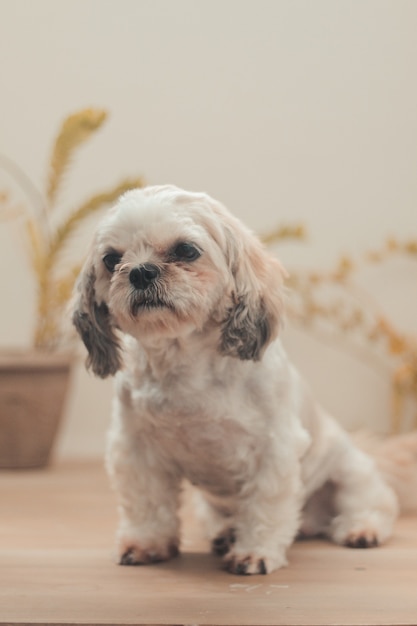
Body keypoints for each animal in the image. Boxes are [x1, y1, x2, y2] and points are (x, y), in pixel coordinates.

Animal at [72, 186, 416, 576]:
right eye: (111, 259)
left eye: (186, 250)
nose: (142, 272)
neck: (186, 370)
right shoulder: (136, 450)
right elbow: (147, 504)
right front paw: (146, 543)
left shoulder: (273, 450)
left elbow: (265, 506)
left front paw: (254, 553)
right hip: (212, 504)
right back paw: (225, 534)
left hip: (349, 474)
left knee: (376, 504)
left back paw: (361, 528)